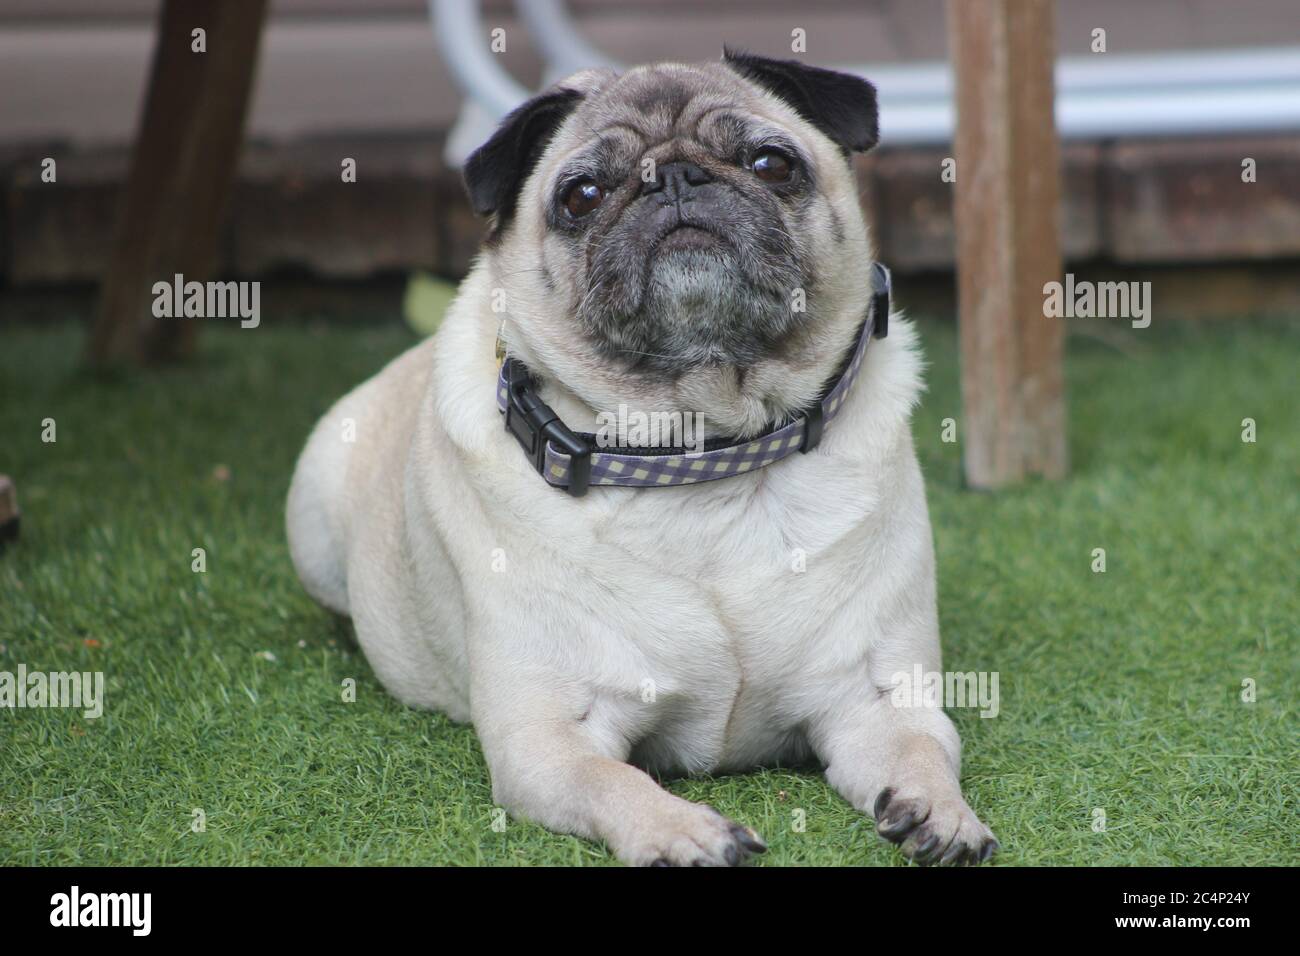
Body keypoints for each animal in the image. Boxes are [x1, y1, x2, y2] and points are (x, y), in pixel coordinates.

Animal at [287, 48, 993, 863]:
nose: (676, 177)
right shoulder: (548, 740)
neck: (704, 452)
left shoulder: (879, 697)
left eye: (772, 163)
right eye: (583, 195)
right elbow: (612, 781)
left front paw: (942, 810)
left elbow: (921, 746)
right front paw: (681, 829)